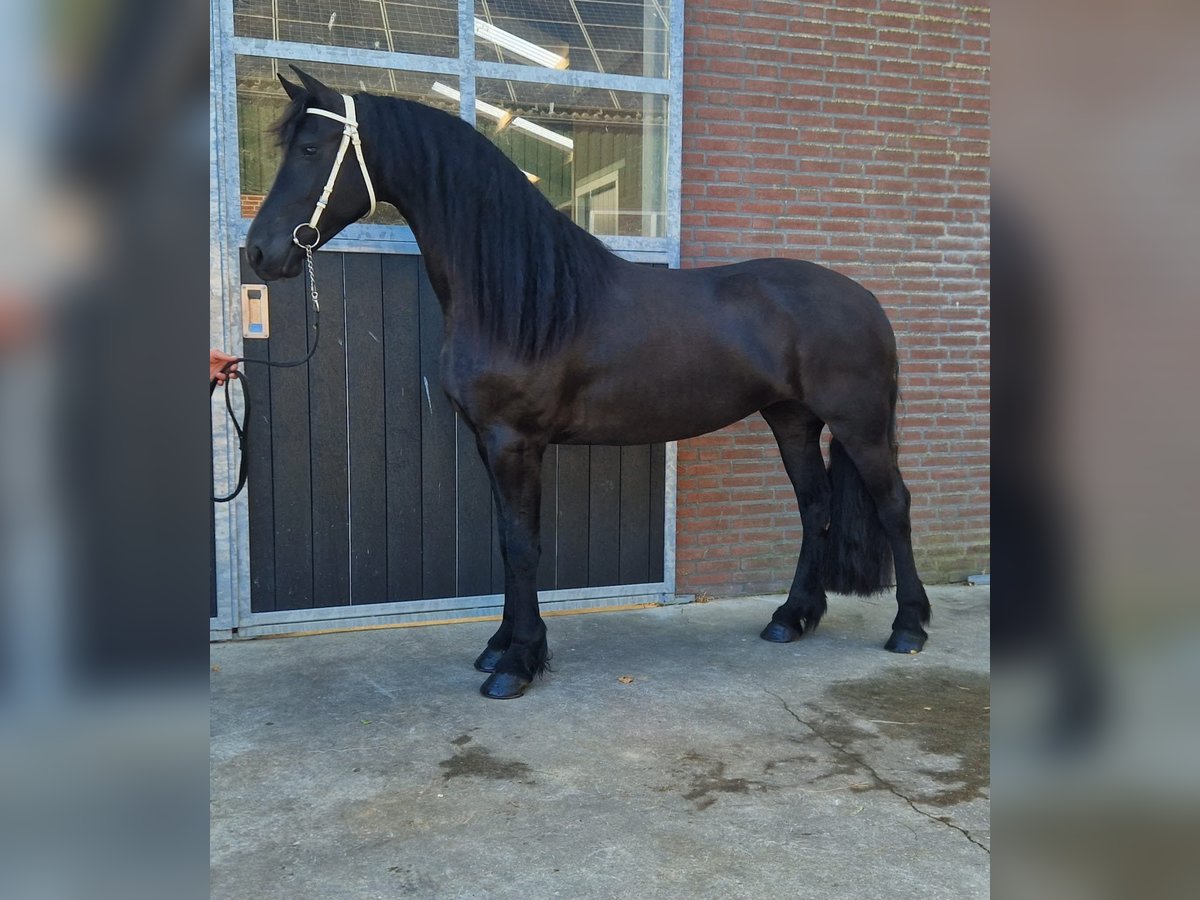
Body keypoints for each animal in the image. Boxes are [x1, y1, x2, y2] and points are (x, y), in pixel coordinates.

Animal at [245, 67, 932, 699]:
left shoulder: (514, 441)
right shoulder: (488, 443)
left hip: (859, 425)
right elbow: (507, 543)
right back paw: (792, 618)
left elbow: (523, 547)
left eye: (311, 150)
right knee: (815, 507)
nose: (259, 253)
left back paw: (909, 627)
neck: (522, 299)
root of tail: (868, 302)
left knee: (893, 506)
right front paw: (499, 647)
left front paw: (518, 663)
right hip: (792, 419)